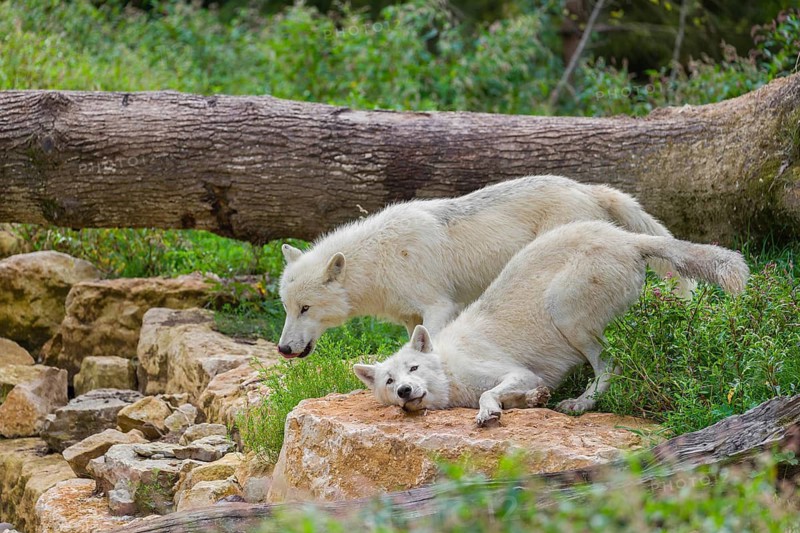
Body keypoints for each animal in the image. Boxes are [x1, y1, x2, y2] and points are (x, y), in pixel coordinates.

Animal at [277, 175, 696, 358]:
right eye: (287, 309)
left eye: (306, 308)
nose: (282, 349)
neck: (378, 259)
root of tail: (587, 187)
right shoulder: (410, 317)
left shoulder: (439, 306)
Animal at [353, 220, 749, 425]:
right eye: (389, 381)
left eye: (414, 368)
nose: (405, 391)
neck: (450, 371)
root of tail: (626, 238)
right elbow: (524, 398)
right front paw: (530, 401)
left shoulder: (516, 372)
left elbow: (487, 393)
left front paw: (488, 411)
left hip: (566, 315)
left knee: (612, 365)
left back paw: (581, 404)